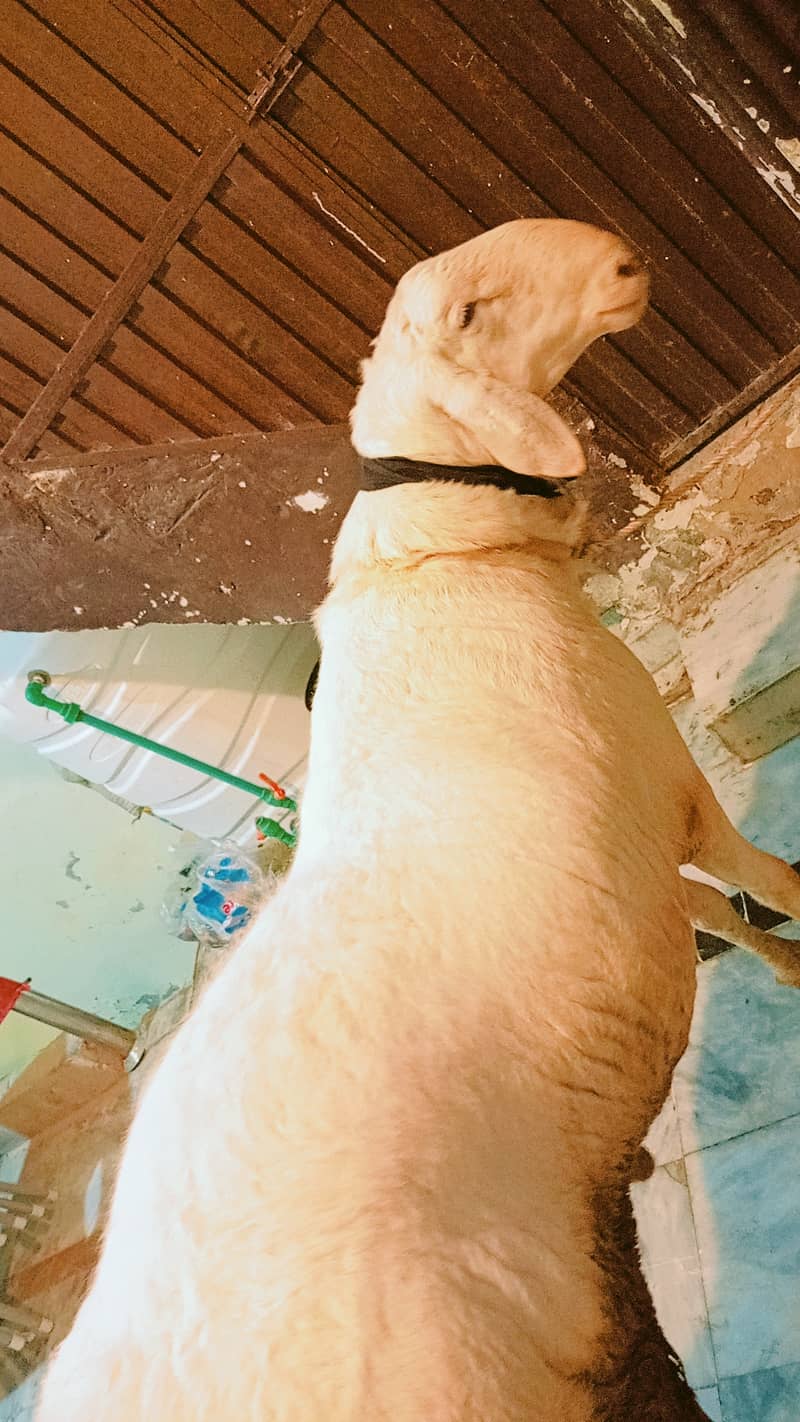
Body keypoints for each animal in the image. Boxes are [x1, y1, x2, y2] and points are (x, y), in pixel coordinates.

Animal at [36, 217, 800, 1422]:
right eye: (470, 318)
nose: (619, 257)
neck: (439, 552)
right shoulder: (668, 789)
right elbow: (763, 880)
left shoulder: (625, 850)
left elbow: (716, 916)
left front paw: (779, 970)